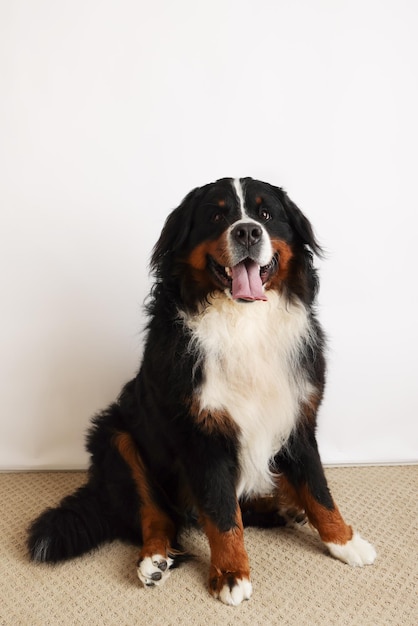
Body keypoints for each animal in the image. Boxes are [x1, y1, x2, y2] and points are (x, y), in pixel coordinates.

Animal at [27, 177, 378, 604]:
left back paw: (282, 507)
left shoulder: (297, 416)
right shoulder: (201, 434)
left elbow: (318, 489)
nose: (247, 232)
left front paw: (344, 542)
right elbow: (222, 512)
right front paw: (230, 574)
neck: (244, 322)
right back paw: (155, 560)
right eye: (216, 216)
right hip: (116, 437)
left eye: (265, 213)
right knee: (156, 516)